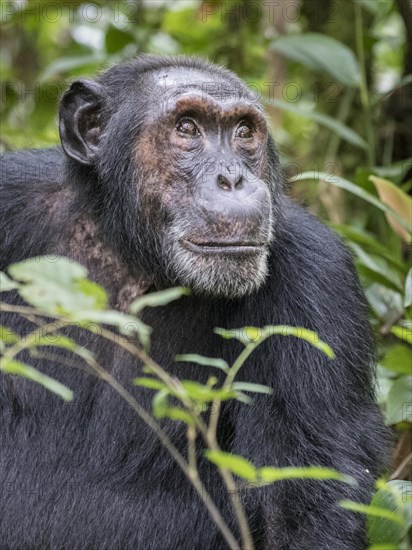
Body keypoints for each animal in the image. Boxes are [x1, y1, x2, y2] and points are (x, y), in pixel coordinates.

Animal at [0, 56, 386, 550]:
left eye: (243, 132)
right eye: (187, 127)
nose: (232, 178)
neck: (130, 252)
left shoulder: (318, 283)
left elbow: (303, 504)